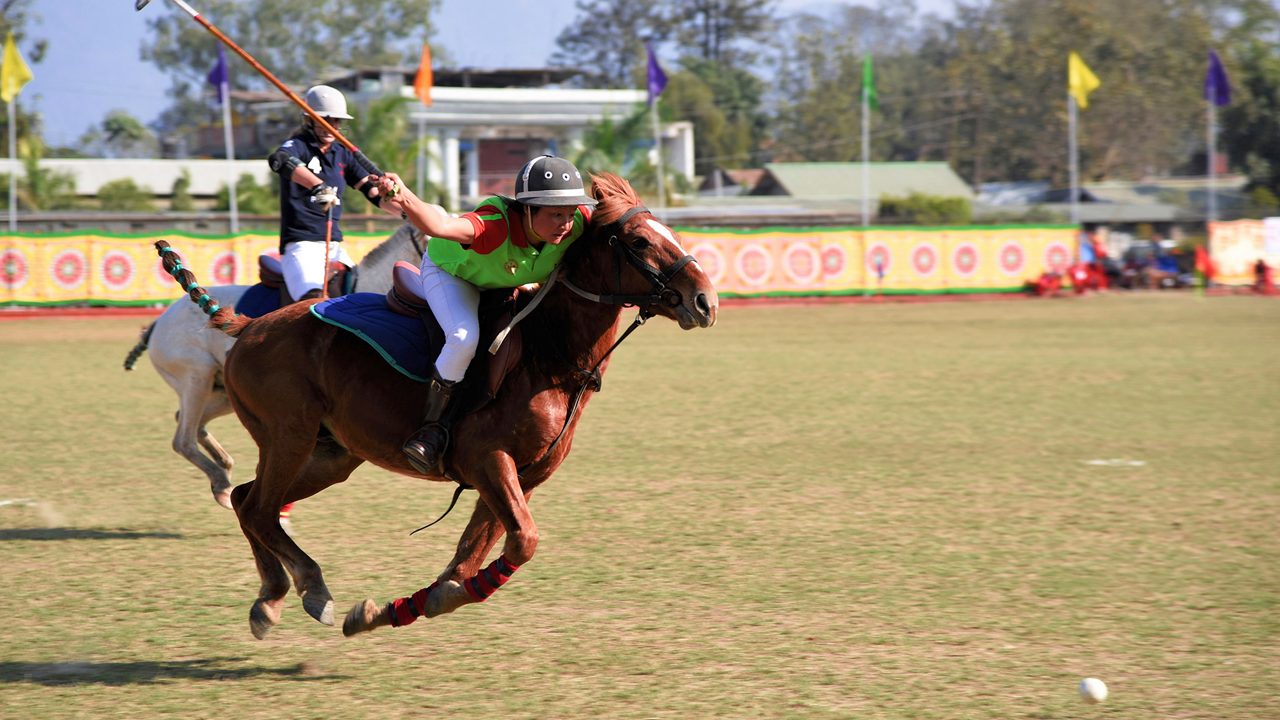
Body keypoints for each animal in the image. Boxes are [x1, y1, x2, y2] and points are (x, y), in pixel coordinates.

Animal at [125, 222, 424, 504]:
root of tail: (158, 322)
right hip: (196, 378)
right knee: (183, 439)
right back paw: (221, 482)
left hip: (223, 392)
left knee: (190, 422)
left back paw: (223, 463)